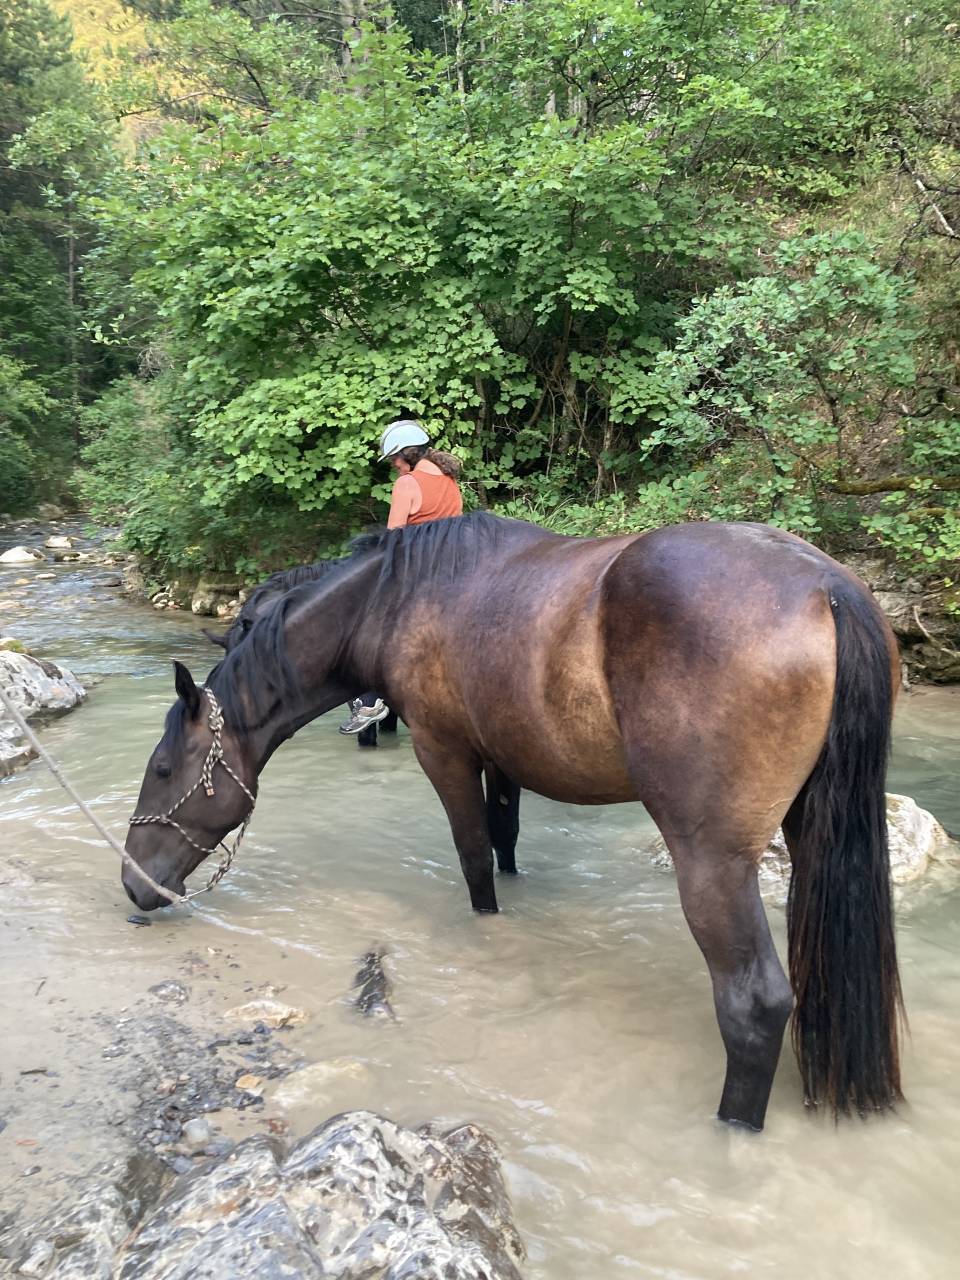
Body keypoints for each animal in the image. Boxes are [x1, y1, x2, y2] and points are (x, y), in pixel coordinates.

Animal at [124, 512, 903, 1131]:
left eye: (161, 769)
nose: (135, 884)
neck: (398, 599)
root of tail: (825, 588)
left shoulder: (445, 752)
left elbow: (474, 859)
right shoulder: (504, 760)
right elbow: (504, 843)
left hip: (713, 860)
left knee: (755, 1004)